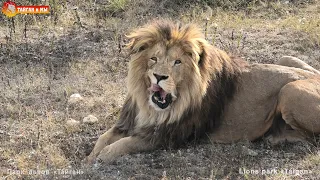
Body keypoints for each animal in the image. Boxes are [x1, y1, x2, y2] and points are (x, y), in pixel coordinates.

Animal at [85, 20, 320, 164]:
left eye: (177, 62)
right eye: (154, 58)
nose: (159, 77)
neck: (149, 106)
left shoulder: (166, 135)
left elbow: (122, 144)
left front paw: (101, 157)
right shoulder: (129, 120)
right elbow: (104, 138)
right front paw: (90, 156)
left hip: (289, 90)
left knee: (311, 138)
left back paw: (277, 138)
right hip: (286, 59)